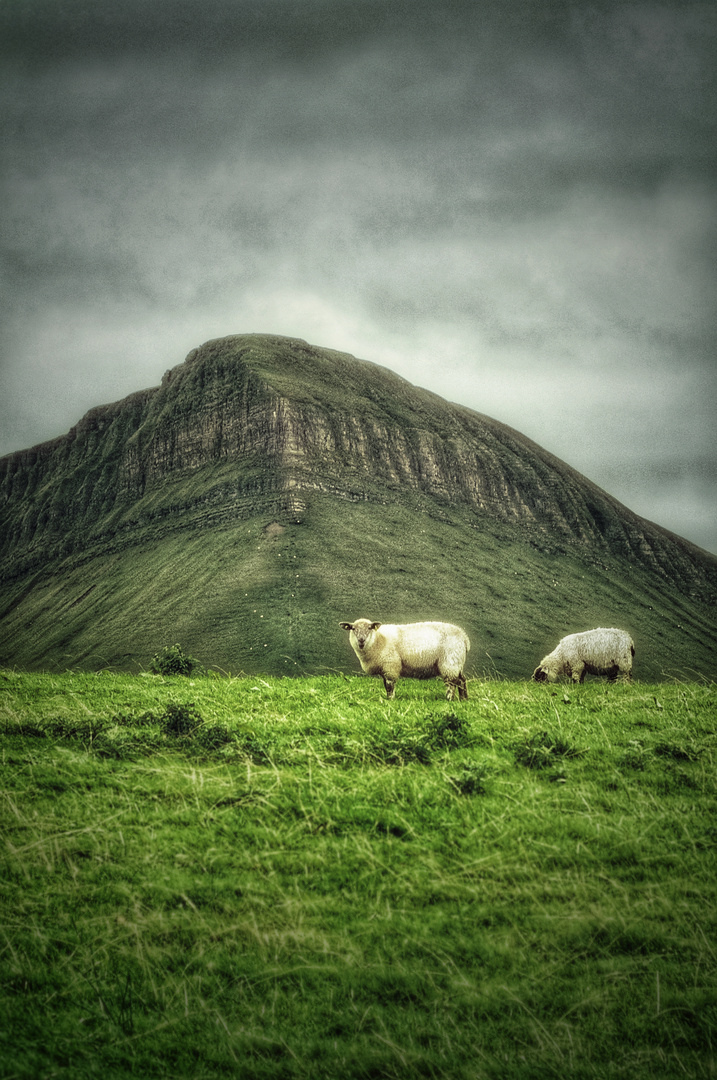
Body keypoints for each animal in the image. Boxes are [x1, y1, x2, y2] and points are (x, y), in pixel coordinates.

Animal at [341, 622, 470, 704]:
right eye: (353, 628)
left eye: (369, 628)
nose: (361, 640)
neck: (378, 639)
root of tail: (464, 637)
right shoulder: (385, 669)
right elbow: (385, 685)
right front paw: (388, 698)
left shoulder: (390, 666)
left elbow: (390, 686)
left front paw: (390, 700)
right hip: (457, 663)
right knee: (462, 680)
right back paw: (464, 699)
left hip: (450, 662)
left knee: (452, 683)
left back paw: (449, 699)